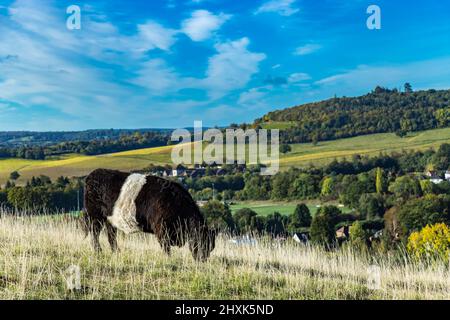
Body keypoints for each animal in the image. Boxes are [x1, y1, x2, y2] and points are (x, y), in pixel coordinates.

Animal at [82, 169, 216, 262]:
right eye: (202, 243)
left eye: (211, 247)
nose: (202, 260)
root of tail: (93, 174)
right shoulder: (162, 230)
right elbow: (166, 249)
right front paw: (169, 261)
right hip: (95, 216)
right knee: (95, 233)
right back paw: (98, 251)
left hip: (110, 219)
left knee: (111, 236)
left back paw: (116, 252)